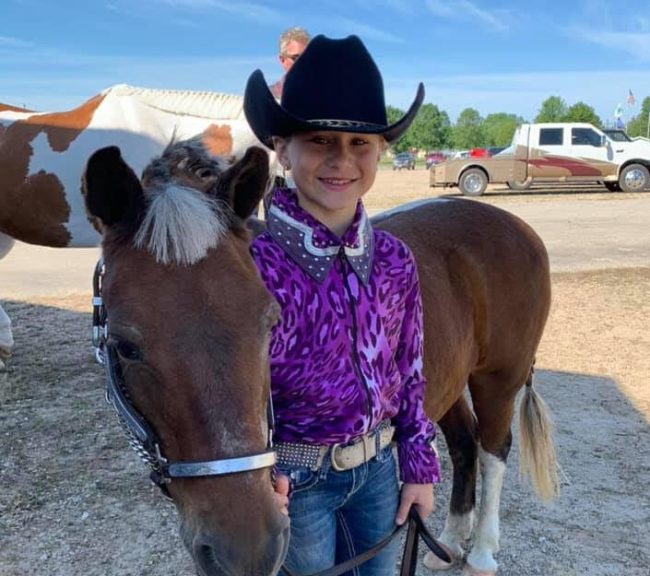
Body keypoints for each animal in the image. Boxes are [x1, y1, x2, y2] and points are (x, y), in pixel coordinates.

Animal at [82, 141, 556, 576]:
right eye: (124, 346)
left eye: (269, 324)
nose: (246, 551)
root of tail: (518, 227)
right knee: (462, 445)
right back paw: (451, 543)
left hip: (499, 379)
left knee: (494, 449)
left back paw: (481, 553)